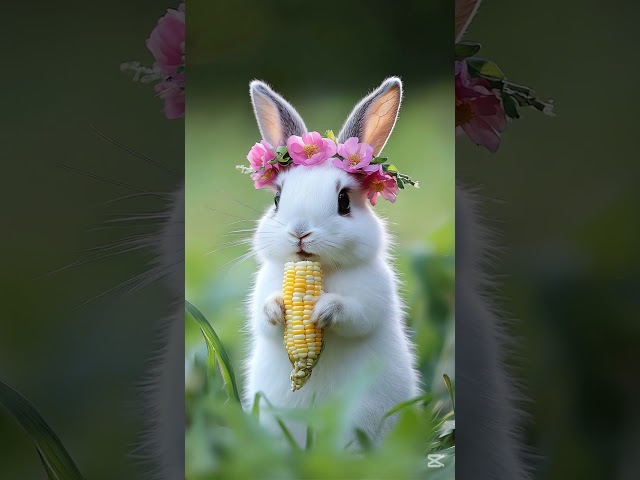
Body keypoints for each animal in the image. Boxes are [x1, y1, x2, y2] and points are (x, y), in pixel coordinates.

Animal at [244, 77, 420, 448]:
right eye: (277, 199)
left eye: (343, 202)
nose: (300, 232)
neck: (322, 270)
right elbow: (261, 319)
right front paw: (277, 309)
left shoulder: (373, 298)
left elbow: (357, 316)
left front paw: (324, 310)